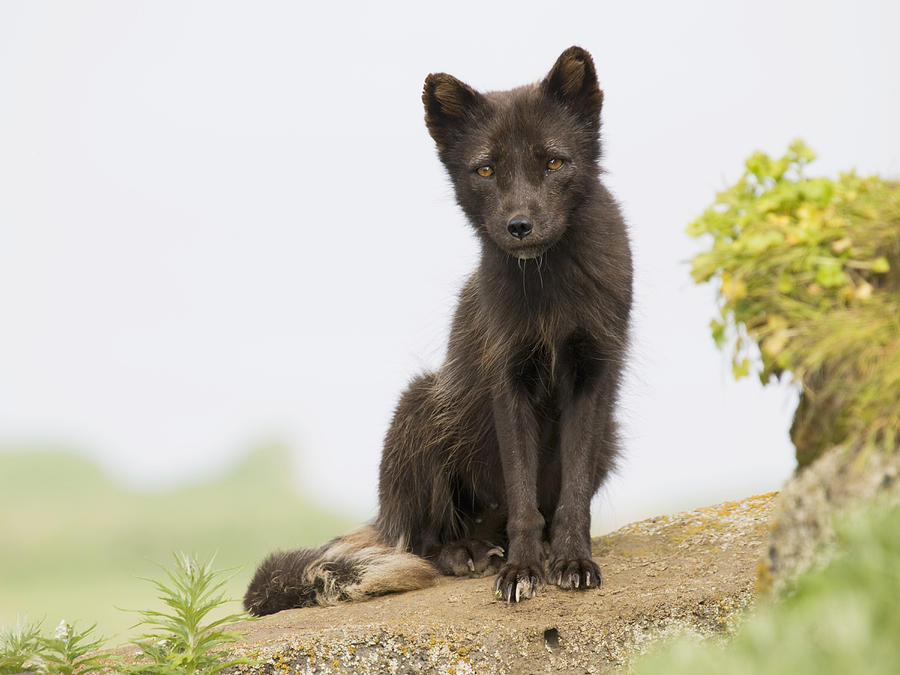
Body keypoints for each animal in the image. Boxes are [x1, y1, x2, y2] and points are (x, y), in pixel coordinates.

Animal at [243, 46, 628, 616]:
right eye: (486, 169)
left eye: (554, 162)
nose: (519, 227)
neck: (549, 294)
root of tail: (384, 515)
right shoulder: (507, 381)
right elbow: (522, 499)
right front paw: (522, 571)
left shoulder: (592, 376)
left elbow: (571, 498)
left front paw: (572, 561)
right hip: (422, 403)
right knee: (423, 542)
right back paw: (467, 553)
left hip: (608, 438)